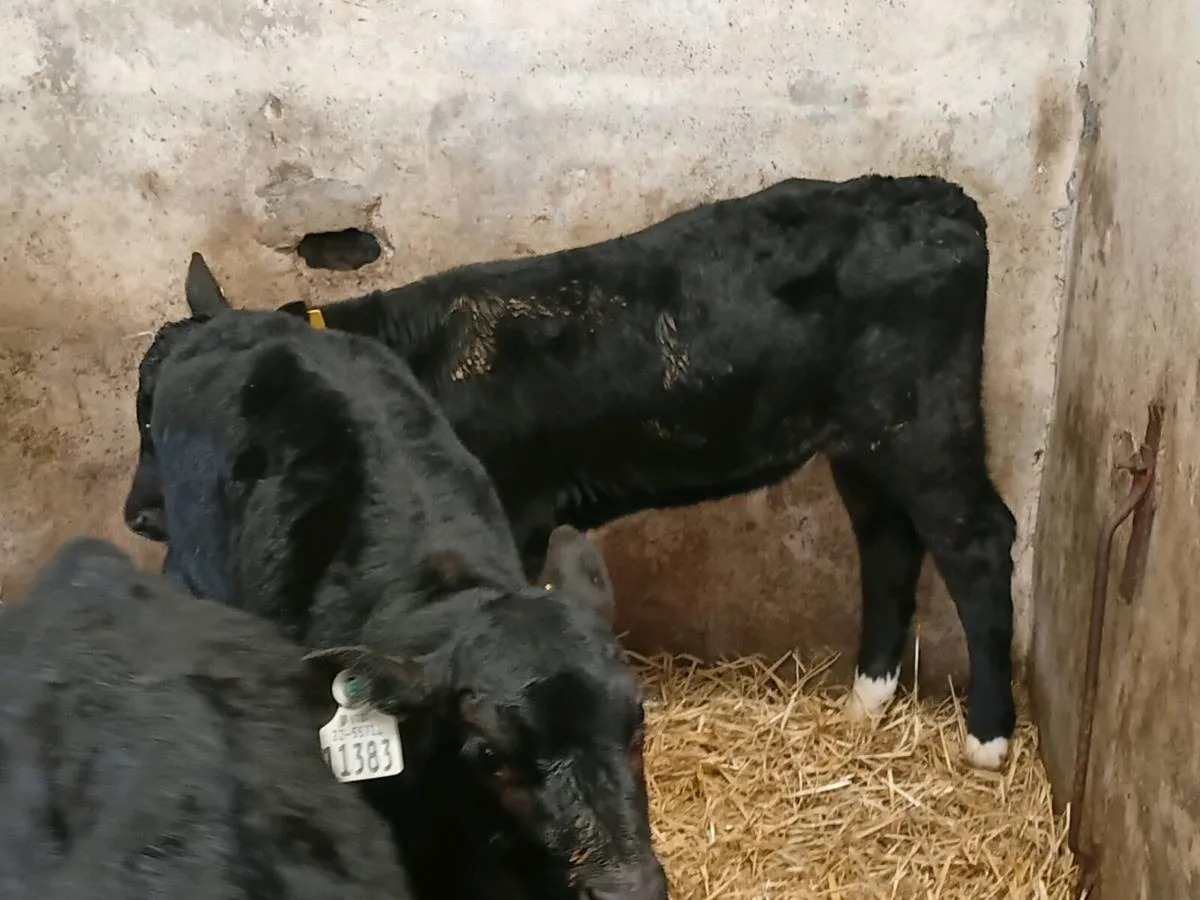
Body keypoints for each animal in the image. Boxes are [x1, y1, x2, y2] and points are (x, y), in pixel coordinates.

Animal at [125, 172, 1018, 772]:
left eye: (157, 419)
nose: (139, 515)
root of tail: (937, 197)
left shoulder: (511, 515)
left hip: (923, 424)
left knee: (977, 543)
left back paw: (989, 737)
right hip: (861, 442)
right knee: (889, 541)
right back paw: (867, 698)